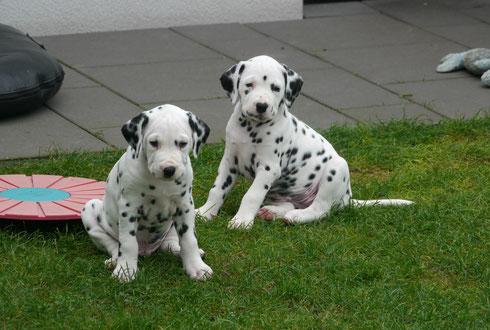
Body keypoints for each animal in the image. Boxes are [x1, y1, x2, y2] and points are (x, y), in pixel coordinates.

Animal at [82, 104, 212, 282]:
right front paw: (125, 270)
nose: (169, 169)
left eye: (183, 144)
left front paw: (197, 267)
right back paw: (114, 261)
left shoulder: (185, 206)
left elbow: (189, 239)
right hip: (90, 211)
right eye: (154, 143)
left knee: (171, 244)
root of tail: (146, 250)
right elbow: (128, 242)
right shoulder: (129, 207)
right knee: (113, 246)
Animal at [197, 54, 412, 229]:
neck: (250, 128)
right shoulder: (229, 163)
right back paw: (272, 212)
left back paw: (299, 216)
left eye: (276, 88)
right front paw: (205, 213)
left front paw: (241, 221)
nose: (261, 106)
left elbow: (252, 195)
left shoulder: (268, 168)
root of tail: (347, 198)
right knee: (289, 203)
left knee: (321, 208)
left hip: (336, 168)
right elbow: (217, 190)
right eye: (249, 85)